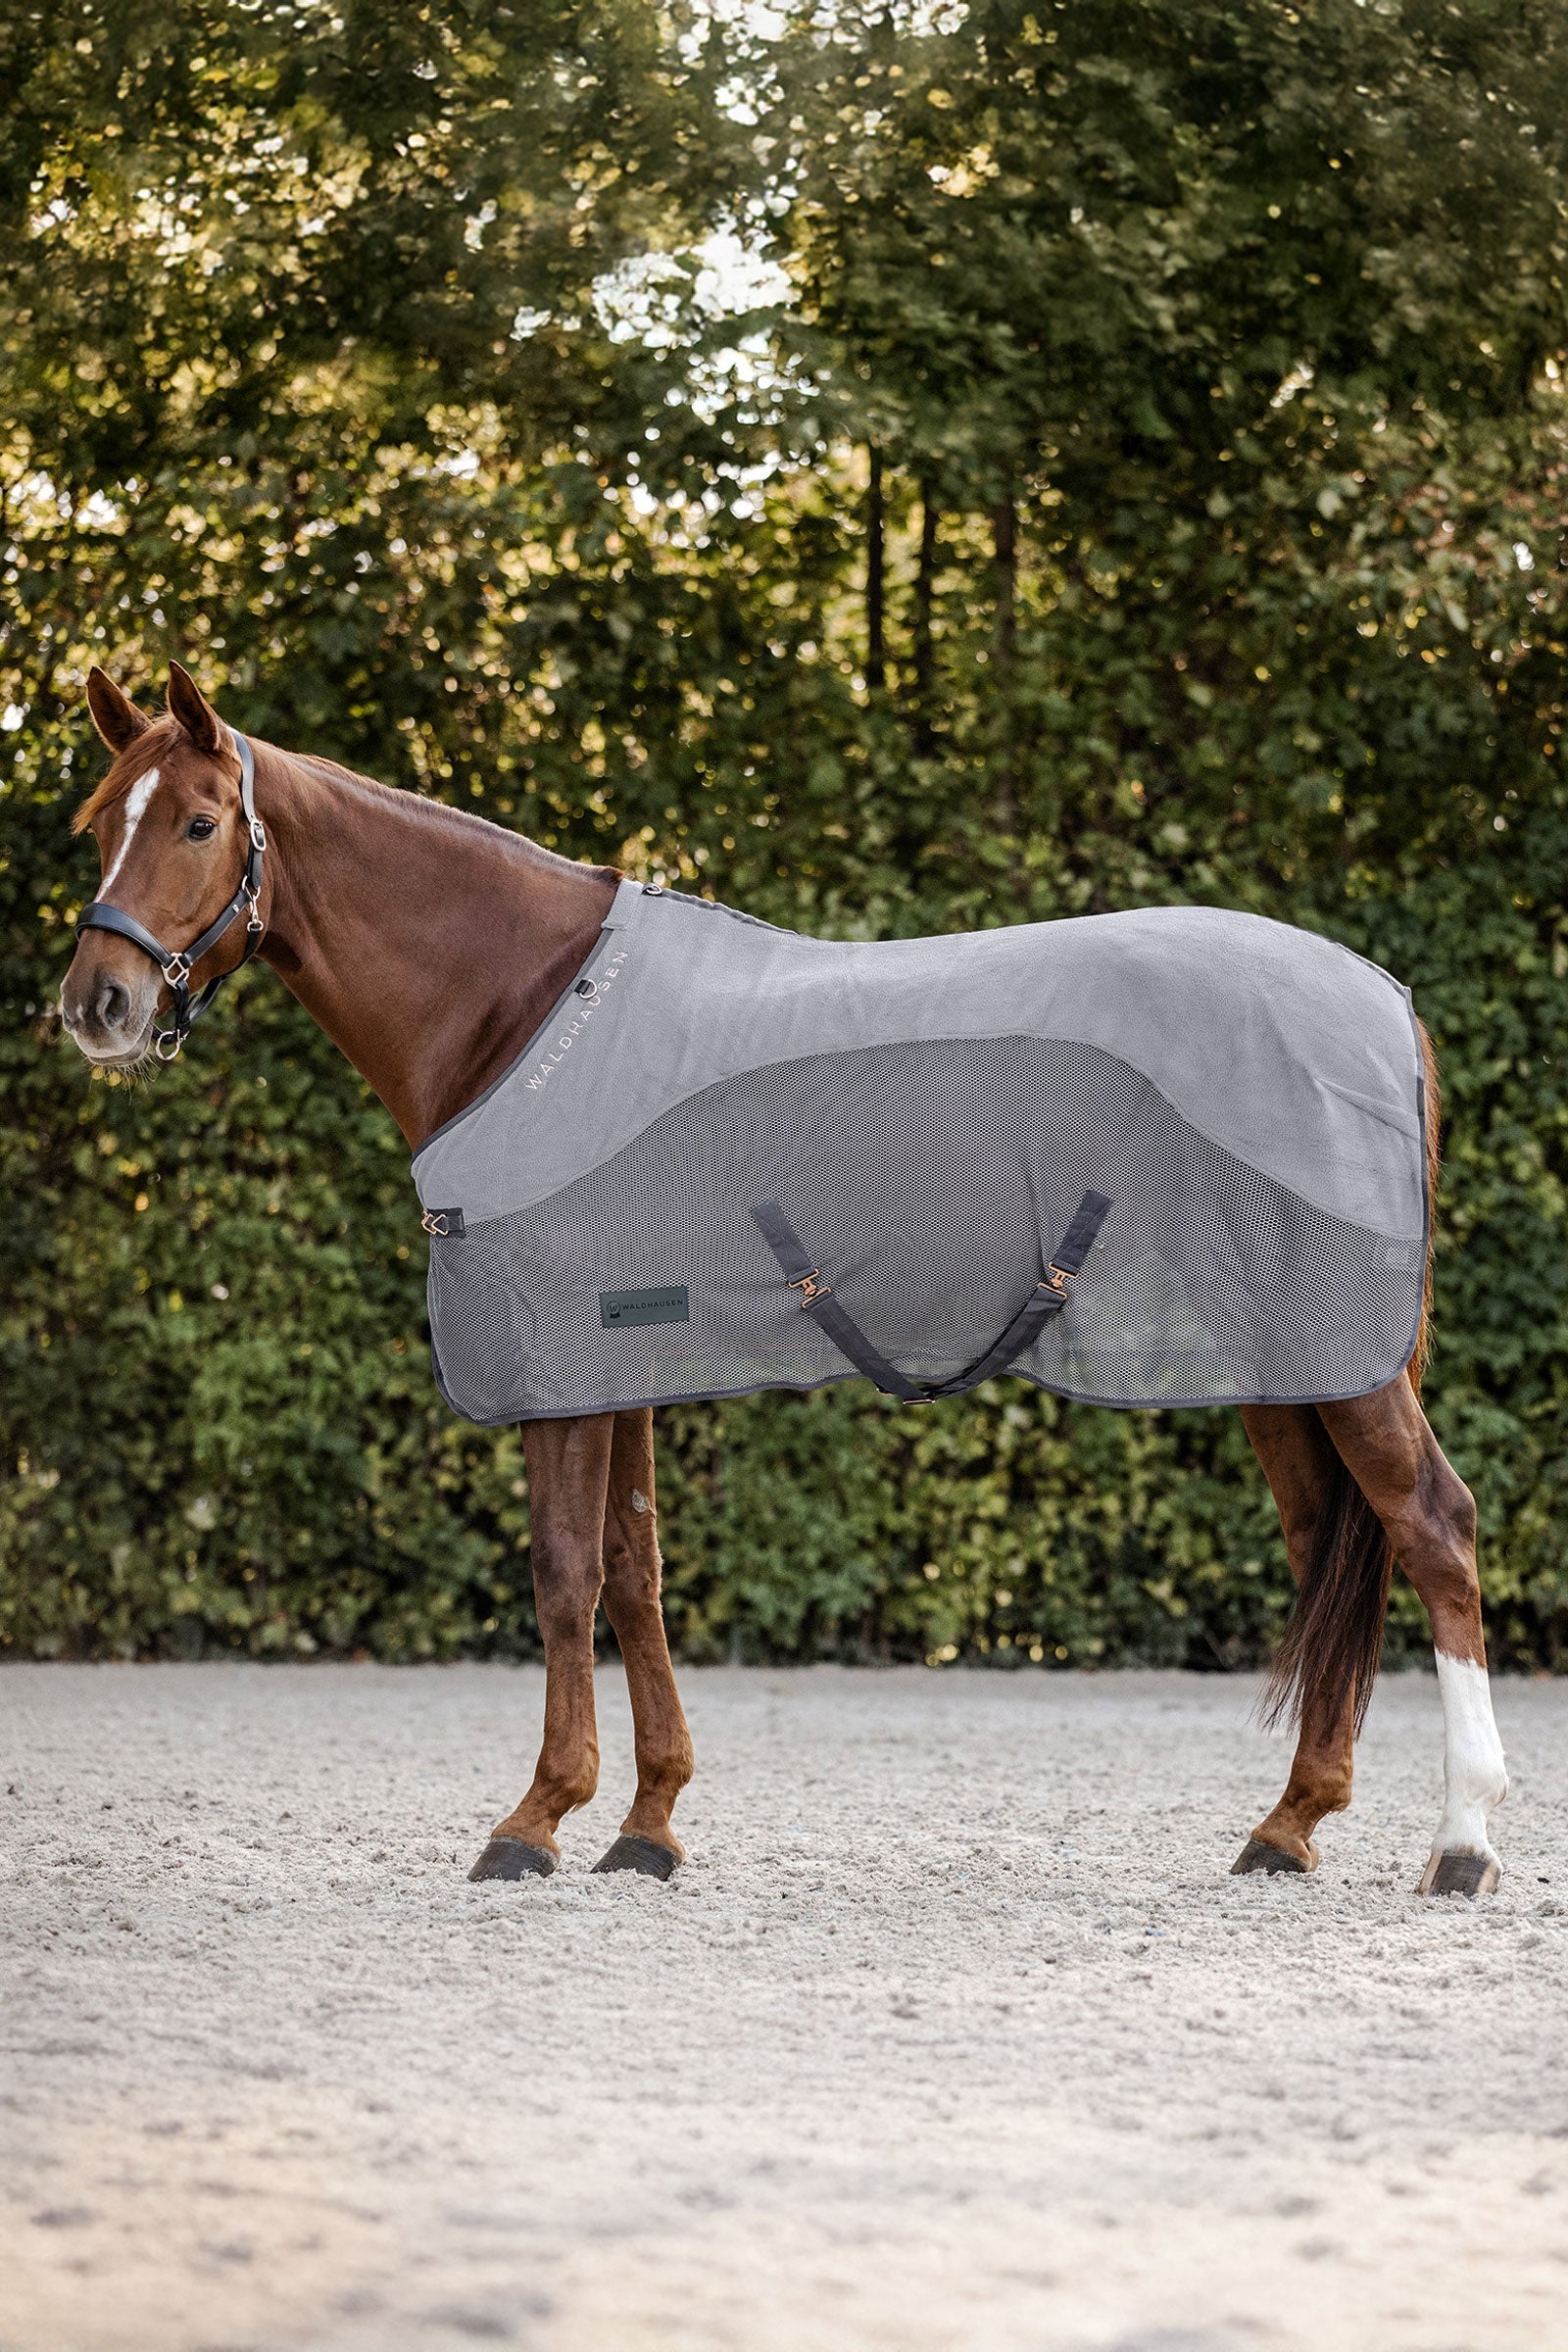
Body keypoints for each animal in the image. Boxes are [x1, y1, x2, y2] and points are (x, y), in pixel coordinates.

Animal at [58, 663, 1509, 1896]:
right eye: (91, 829)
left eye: (199, 823)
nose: (98, 1007)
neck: (521, 1009)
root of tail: (1382, 1001)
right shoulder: (620, 1352)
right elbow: (635, 1569)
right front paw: (646, 1824)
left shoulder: (555, 1359)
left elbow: (564, 1573)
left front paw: (535, 1819)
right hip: (1286, 1361)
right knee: (1331, 1545)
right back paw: (1289, 1825)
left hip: (1340, 1361)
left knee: (1433, 1527)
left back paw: (1462, 1845)